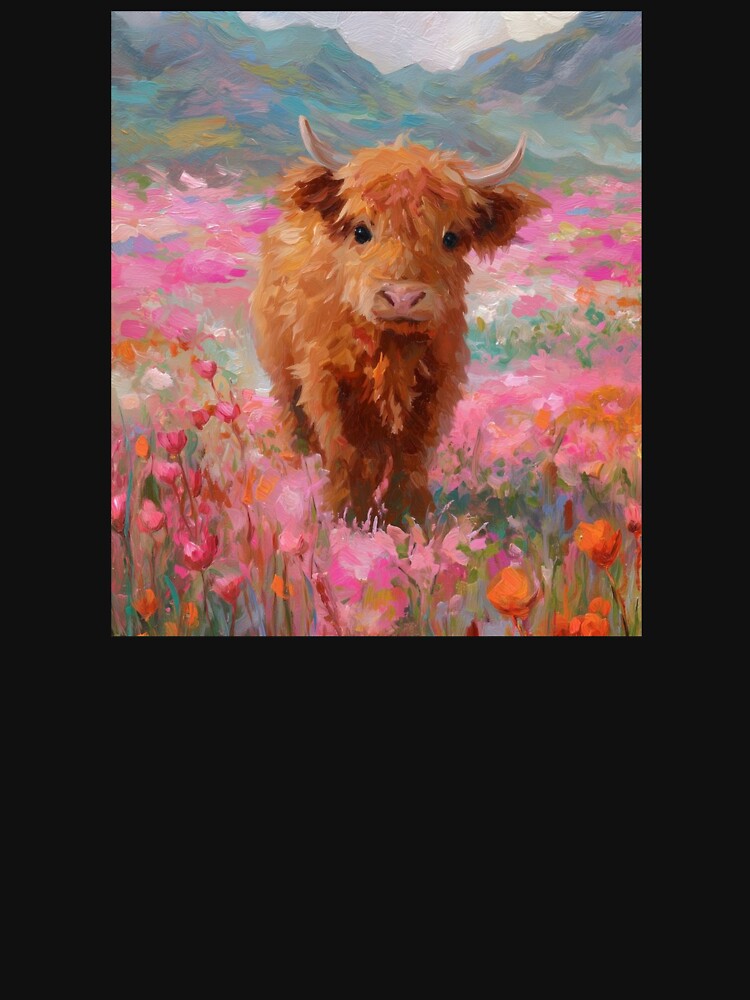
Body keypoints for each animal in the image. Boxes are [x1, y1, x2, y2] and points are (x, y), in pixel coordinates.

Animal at [251, 116, 548, 524]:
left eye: (450, 238)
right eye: (361, 230)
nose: (403, 297)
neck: (391, 350)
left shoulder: (436, 387)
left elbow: (411, 458)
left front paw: (407, 518)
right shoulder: (323, 382)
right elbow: (344, 454)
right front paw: (347, 518)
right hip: (283, 376)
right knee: (300, 433)